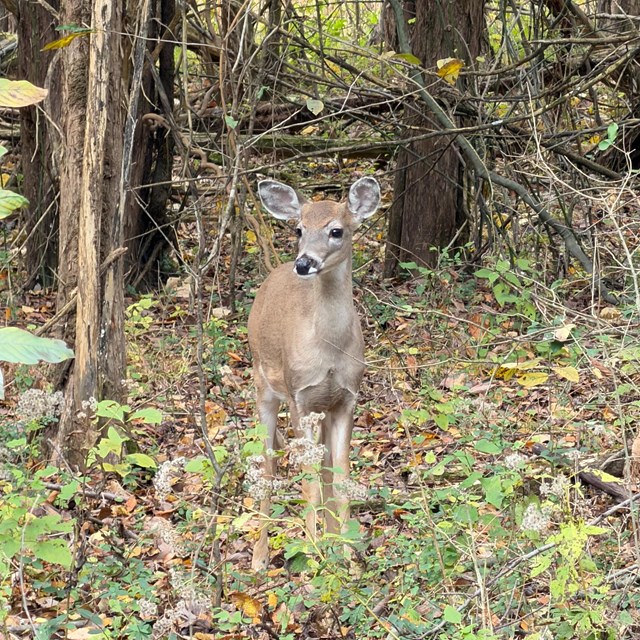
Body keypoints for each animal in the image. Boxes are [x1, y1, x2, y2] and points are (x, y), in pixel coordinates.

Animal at [247, 176, 380, 571]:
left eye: (336, 230)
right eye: (299, 229)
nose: (304, 263)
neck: (329, 350)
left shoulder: (347, 399)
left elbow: (341, 478)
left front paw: (348, 557)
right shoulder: (299, 397)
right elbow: (307, 483)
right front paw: (311, 553)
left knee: (322, 469)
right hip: (263, 386)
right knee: (269, 465)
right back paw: (259, 558)